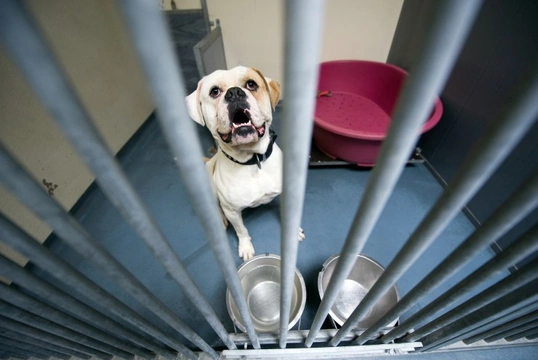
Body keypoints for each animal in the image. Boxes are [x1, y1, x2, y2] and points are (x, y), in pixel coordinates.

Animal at [184, 66, 304, 260]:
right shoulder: (232, 211)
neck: (253, 160)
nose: (234, 93)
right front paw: (246, 247)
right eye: (214, 91)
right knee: (216, 207)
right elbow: (241, 230)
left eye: (251, 84)